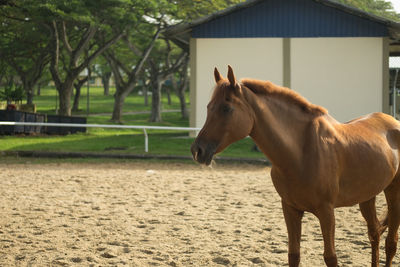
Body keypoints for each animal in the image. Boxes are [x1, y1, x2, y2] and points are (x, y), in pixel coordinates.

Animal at [190, 66, 400, 266]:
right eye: (209, 107)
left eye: (226, 108)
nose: (197, 150)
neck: (300, 152)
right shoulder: (290, 209)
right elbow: (294, 255)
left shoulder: (326, 212)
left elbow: (330, 258)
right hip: (367, 196)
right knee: (374, 234)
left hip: (393, 193)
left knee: (390, 242)